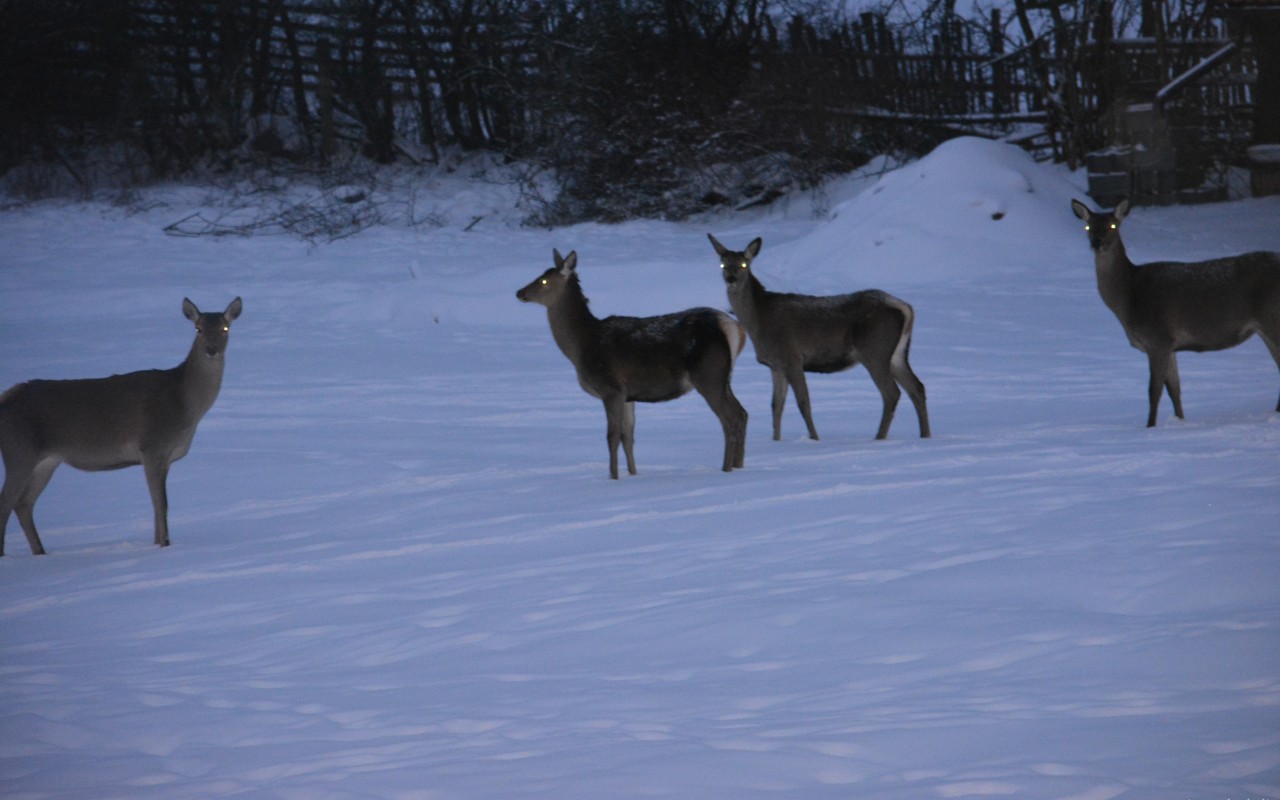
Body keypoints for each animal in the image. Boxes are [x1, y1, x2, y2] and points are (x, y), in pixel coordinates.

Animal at [0, 297, 243, 555]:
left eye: (225, 328)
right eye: (198, 329)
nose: (211, 350)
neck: (184, 405)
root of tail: (3, 401)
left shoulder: (165, 456)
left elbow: (158, 504)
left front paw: (158, 543)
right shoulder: (152, 445)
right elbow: (161, 503)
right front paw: (164, 545)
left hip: (46, 461)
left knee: (23, 504)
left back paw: (40, 553)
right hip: (18, 451)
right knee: (6, 503)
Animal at [517, 249, 748, 479]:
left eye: (544, 280)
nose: (519, 292)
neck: (581, 346)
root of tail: (732, 328)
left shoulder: (611, 388)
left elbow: (612, 436)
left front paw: (613, 477)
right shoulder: (628, 395)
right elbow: (627, 436)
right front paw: (633, 475)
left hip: (709, 374)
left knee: (729, 418)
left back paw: (726, 469)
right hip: (724, 376)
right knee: (742, 413)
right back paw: (739, 466)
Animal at [708, 234, 930, 443]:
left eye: (744, 264)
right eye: (723, 263)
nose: (731, 278)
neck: (760, 319)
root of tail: (906, 308)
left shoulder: (792, 357)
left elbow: (803, 402)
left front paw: (814, 438)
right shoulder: (776, 365)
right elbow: (776, 405)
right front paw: (776, 441)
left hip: (875, 351)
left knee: (892, 393)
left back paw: (879, 437)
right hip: (896, 354)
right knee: (917, 387)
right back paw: (925, 435)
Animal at [1071, 198, 1280, 427]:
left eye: (1112, 225)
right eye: (1088, 226)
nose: (1097, 242)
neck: (1129, 299)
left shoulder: (1157, 338)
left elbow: (1154, 390)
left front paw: (1150, 426)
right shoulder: (1170, 345)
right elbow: (1174, 389)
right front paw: (1180, 421)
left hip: (1272, 318)